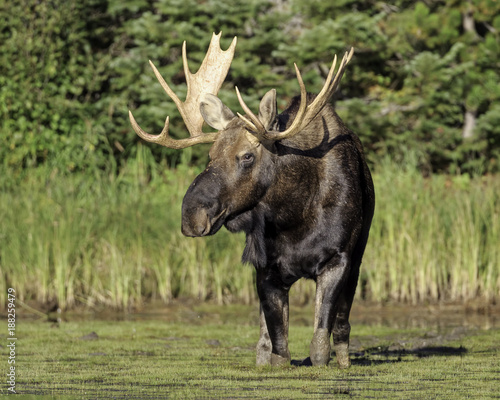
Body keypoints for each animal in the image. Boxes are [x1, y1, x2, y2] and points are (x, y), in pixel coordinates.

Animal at [129, 32, 376, 368]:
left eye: (247, 156)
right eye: (210, 155)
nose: (191, 215)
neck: (295, 214)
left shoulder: (339, 260)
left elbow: (319, 345)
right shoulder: (266, 268)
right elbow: (279, 350)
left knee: (341, 324)